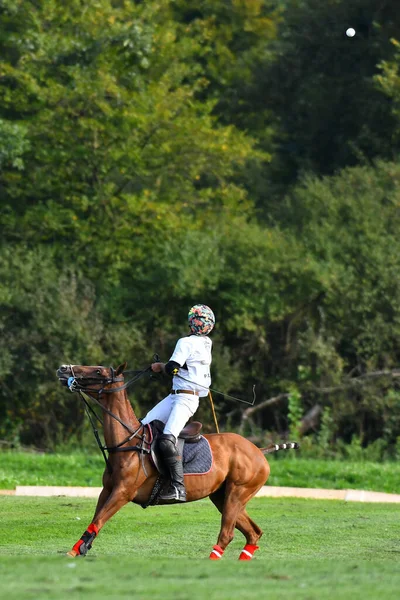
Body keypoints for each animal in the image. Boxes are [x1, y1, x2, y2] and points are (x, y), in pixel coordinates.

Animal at [57, 364, 298, 560]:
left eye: (98, 371)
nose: (63, 369)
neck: (129, 441)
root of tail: (258, 450)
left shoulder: (123, 492)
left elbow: (99, 520)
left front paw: (75, 551)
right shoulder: (107, 490)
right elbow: (95, 518)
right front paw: (79, 548)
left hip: (238, 493)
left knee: (227, 534)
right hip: (222, 496)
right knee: (254, 533)